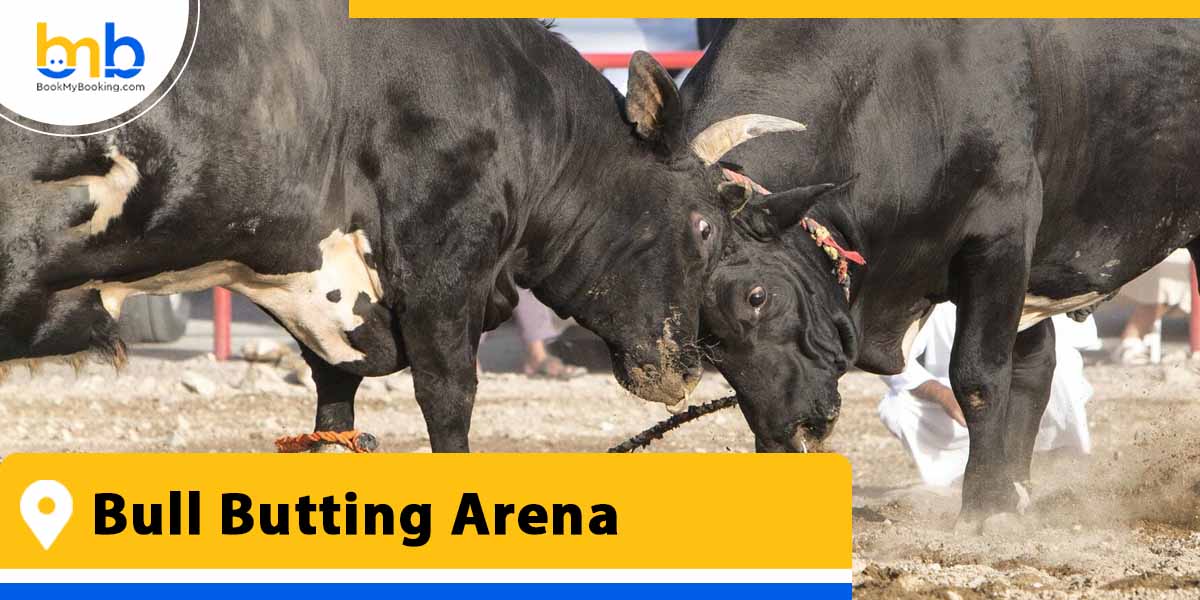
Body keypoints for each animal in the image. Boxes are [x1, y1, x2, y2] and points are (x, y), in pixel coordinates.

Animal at [0, 11, 804, 452]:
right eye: (704, 225)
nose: (685, 367)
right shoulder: (441, 279)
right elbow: (449, 407)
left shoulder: (327, 309)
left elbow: (332, 418)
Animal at [680, 19, 1200, 525]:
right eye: (700, 337)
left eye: (756, 297)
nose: (786, 436)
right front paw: (1005, 497)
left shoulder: (1002, 236)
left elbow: (978, 374)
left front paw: (986, 506)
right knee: (1037, 362)